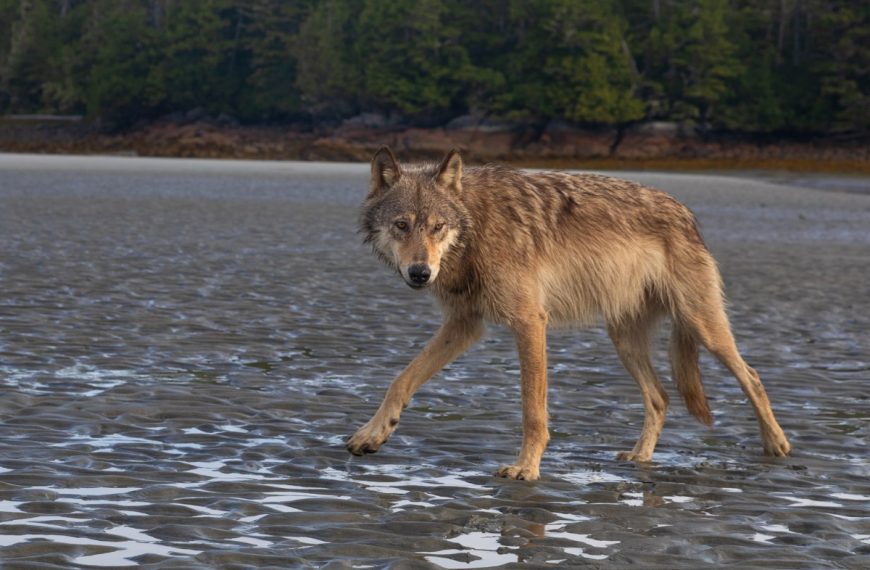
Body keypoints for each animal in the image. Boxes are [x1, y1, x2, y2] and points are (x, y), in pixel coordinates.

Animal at [346, 146, 791, 481]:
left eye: (437, 227)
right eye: (402, 225)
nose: (420, 273)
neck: (476, 228)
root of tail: (687, 213)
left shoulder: (529, 322)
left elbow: (533, 411)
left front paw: (526, 468)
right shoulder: (464, 325)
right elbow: (400, 381)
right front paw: (372, 435)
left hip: (704, 329)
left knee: (752, 376)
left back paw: (776, 444)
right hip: (625, 341)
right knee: (661, 397)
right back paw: (641, 457)